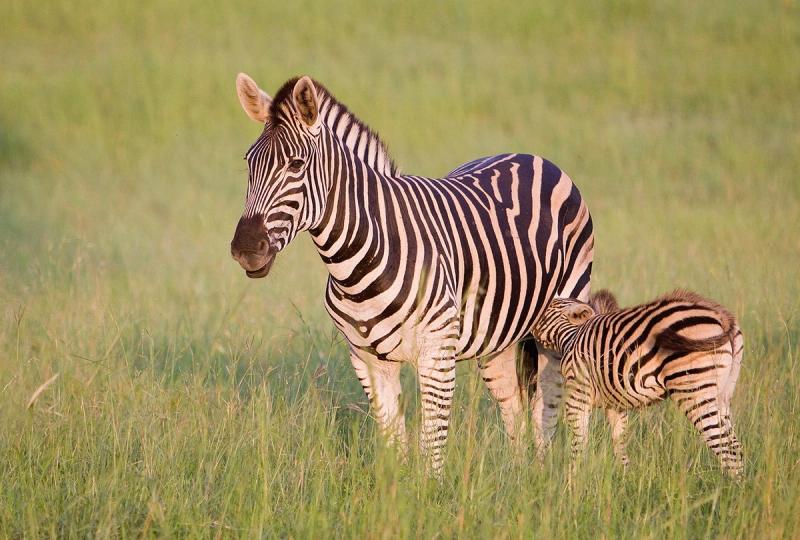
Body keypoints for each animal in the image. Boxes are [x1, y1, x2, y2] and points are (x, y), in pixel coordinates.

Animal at [229, 73, 594, 472]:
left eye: (296, 165)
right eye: (248, 163)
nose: (245, 249)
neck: (358, 262)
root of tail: (529, 156)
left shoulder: (436, 353)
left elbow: (432, 448)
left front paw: (430, 490)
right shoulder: (367, 360)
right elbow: (394, 444)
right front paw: (396, 489)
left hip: (562, 315)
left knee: (548, 405)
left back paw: (547, 474)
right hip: (497, 336)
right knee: (512, 405)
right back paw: (518, 474)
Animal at [531, 289, 744, 477]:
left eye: (544, 307)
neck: (571, 337)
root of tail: (721, 316)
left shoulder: (578, 393)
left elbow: (578, 442)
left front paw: (572, 485)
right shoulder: (615, 404)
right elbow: (619, 443)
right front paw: (625, 480)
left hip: (693, 388)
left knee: (725, 447)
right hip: (722, 393)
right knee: (735, 446)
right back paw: (736, 490)